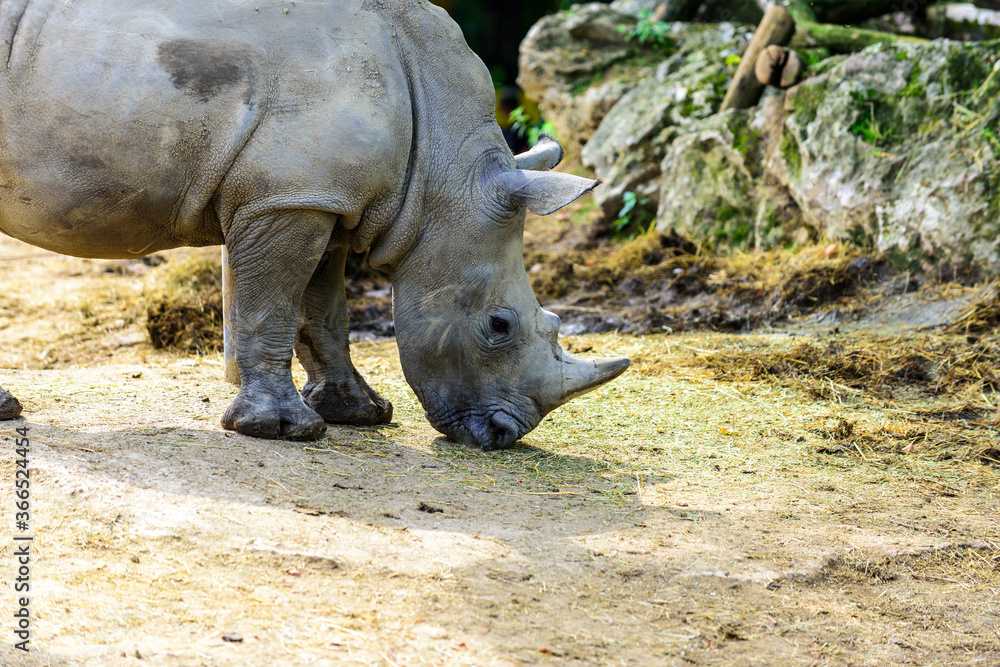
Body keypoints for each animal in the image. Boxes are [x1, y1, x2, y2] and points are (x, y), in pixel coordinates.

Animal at [0, 0, 629, 449]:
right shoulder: (290, 197)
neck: (443, 173)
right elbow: (274, 303)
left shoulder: (322, 198)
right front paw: (284, 431)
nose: (503, 435)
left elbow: (323, 312)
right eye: (499, 325)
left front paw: (360, 414)